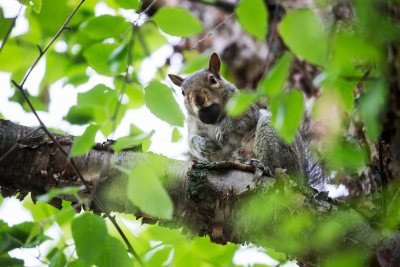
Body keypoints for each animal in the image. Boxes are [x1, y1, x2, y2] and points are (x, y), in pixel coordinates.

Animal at [167, 53, 308, 181]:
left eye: (213, 79)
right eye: (183, 92)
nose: (198, 99)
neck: (213, 121)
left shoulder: (244, 106)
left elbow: (245, 117)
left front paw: (223, 128)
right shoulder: (193, 124)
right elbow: (191, 141)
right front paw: (203, 144)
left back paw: (265, 168)